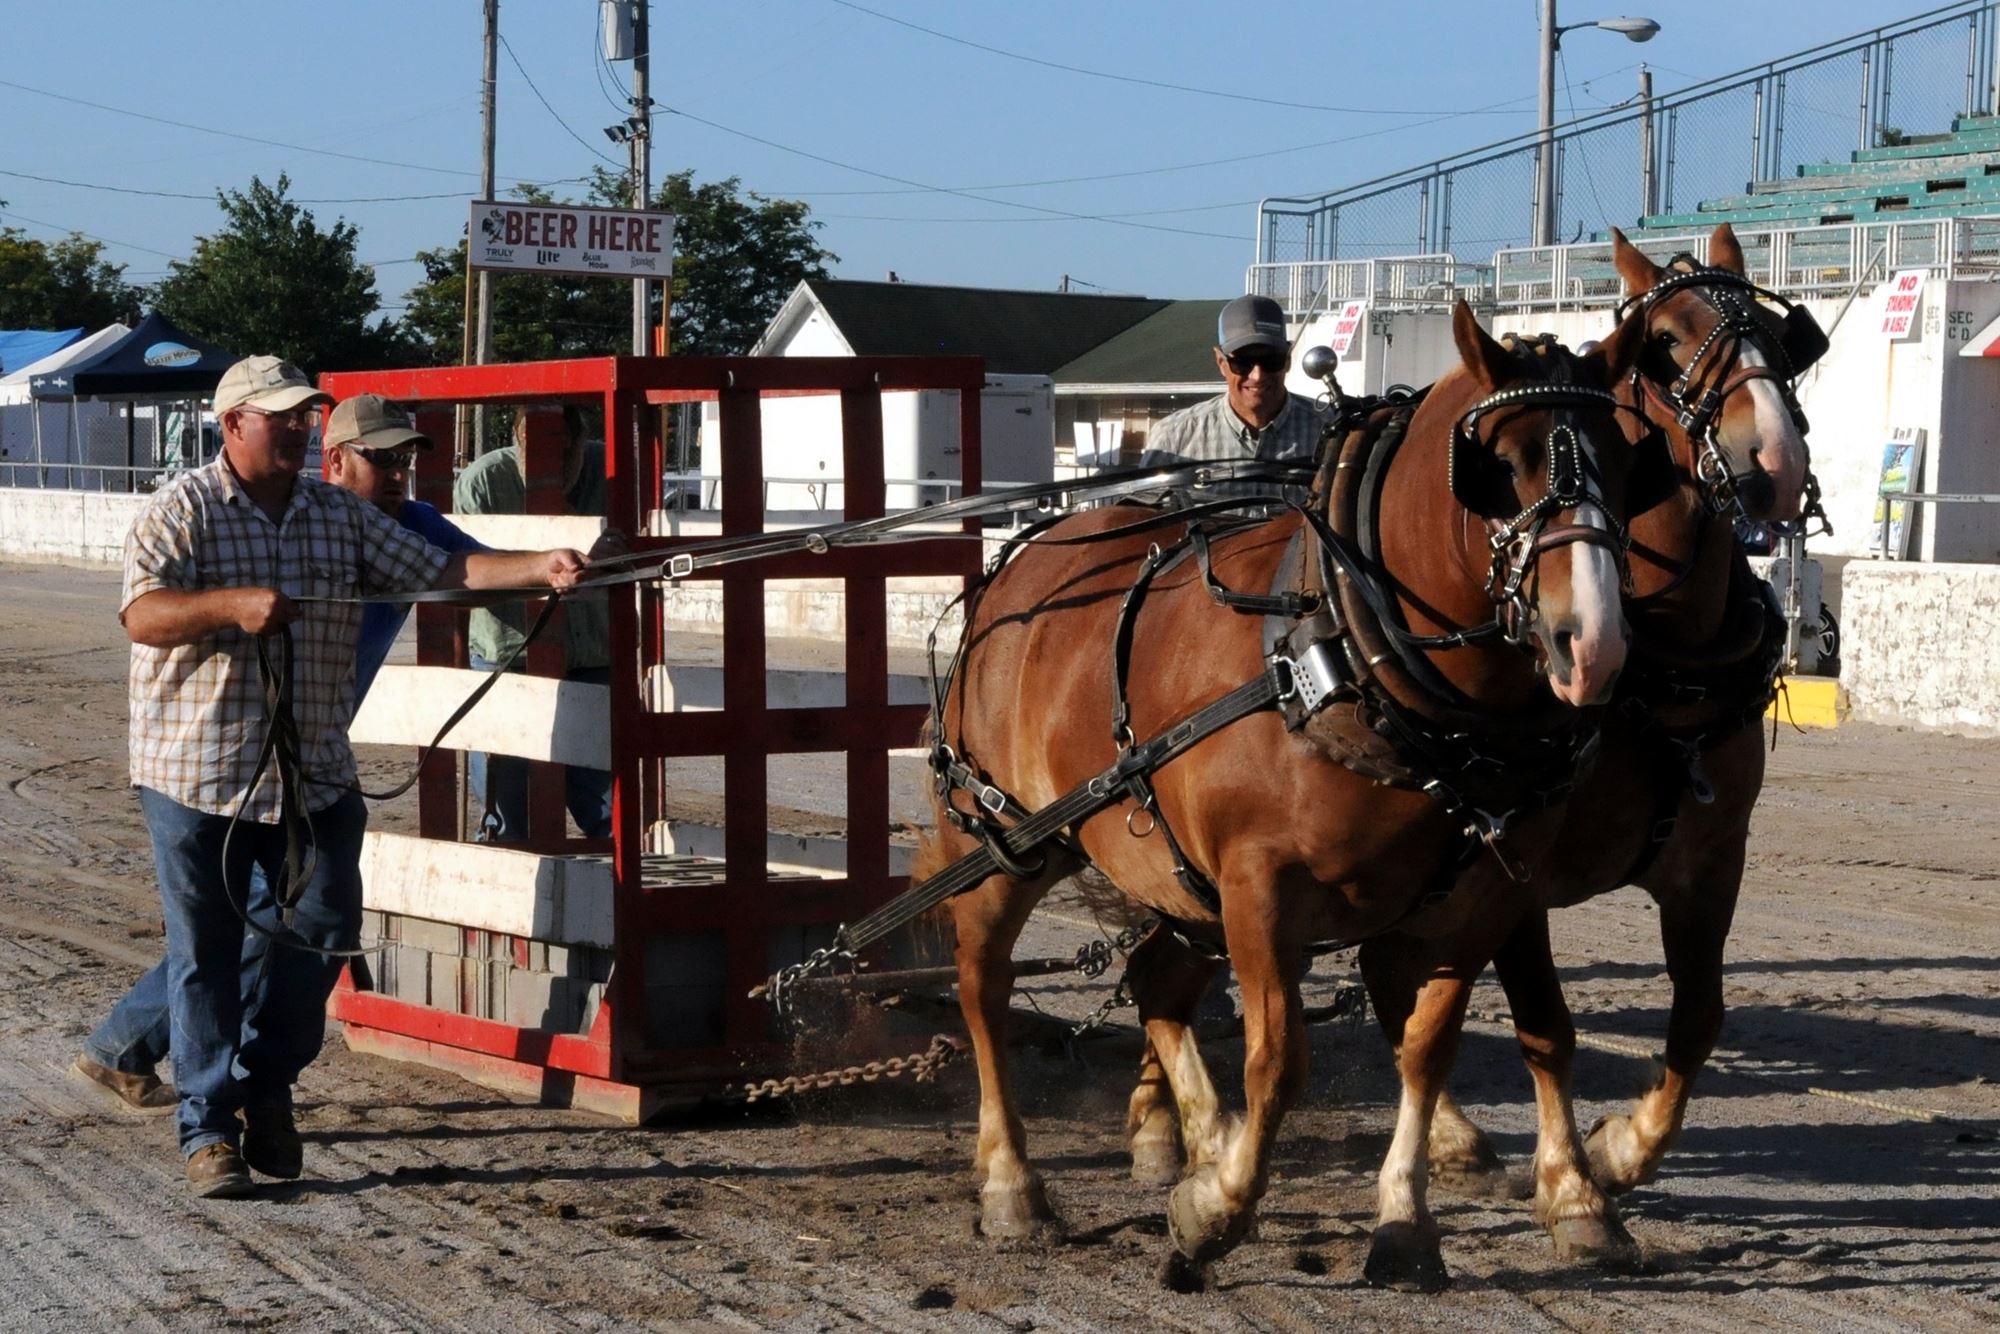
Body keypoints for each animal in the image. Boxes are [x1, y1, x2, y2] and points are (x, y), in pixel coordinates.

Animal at [916, 306, 1648, 1280]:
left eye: (1632, 459)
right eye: (1496, 463)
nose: (1593, 643)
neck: (1340, 651)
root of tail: (1019, 564)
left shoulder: (1475, 903)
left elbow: (1427, 1052)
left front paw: (1404, 1220)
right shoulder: (1261, 889)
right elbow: (1278, 1063)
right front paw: (1219, 1208)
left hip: (1178, 882)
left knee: (1156, 983)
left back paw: (1196, 1137)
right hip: (1006, 843)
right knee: (983, 987)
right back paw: (1013, 1184)